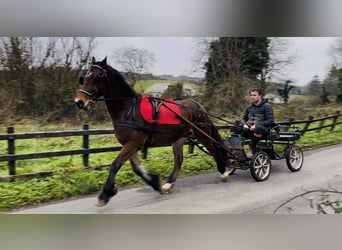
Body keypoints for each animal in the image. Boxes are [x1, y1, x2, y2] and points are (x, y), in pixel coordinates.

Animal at [74, 57, 231, 207]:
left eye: (97, 77)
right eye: (84, 77)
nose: (79, 102)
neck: (129, 109)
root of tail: (198, 105)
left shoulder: (133, 144)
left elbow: (115, 165)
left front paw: (104, 195)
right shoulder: (131, 145)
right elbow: (136, 168)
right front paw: (155, 183)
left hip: (203, 134)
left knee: (214, 148)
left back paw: (224, 170)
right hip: (178, 139)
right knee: (179, 160)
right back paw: (169, 184)